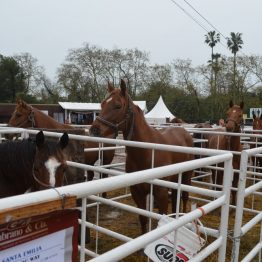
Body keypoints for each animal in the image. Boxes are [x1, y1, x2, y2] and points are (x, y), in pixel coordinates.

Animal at [90, 79, 194, 233]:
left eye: (117, 106)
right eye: (102, 104)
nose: (94, 130)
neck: (146, 153)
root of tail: (184, 132)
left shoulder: (161, 193)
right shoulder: (137, 192)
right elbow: (143, 218)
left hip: (187, 176)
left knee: (185, 197)